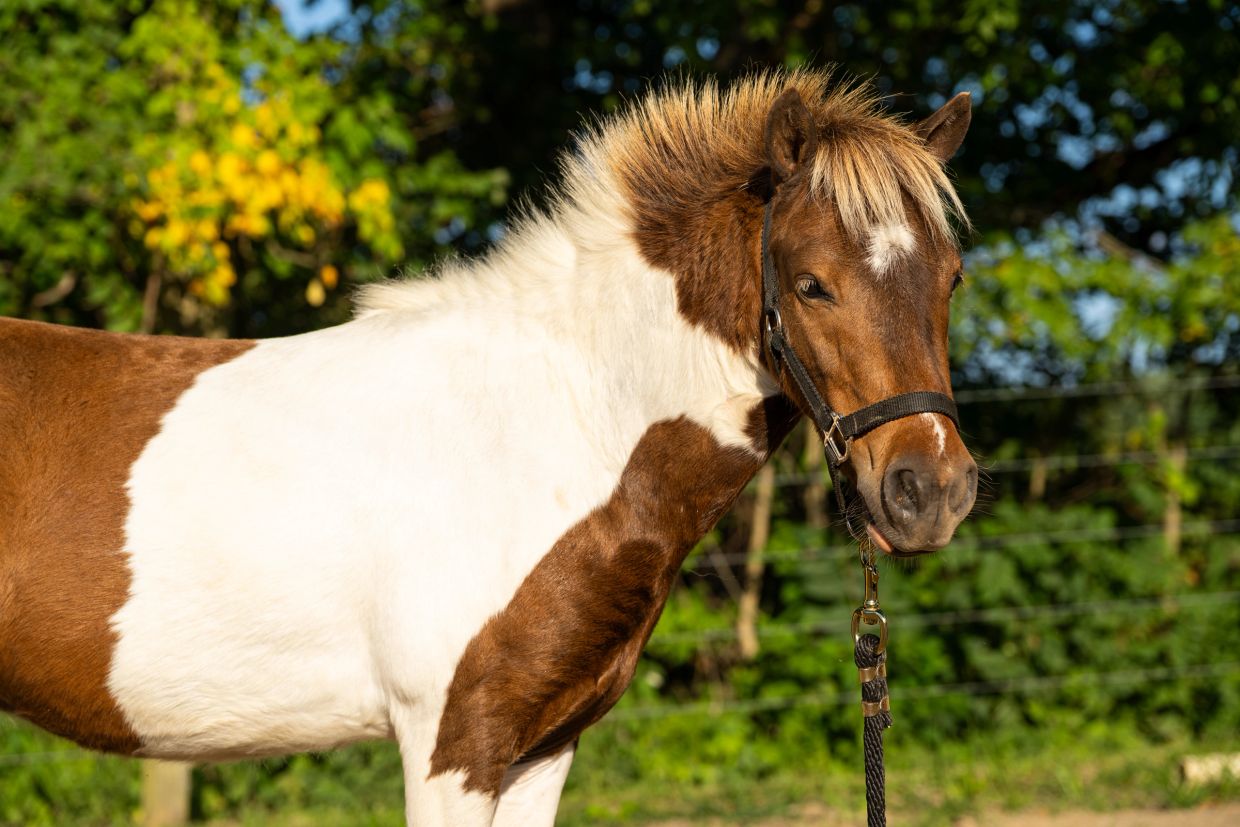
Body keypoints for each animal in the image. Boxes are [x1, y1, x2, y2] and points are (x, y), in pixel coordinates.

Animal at [0, 69, 977, 825]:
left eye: (952, 278)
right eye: (811, 284)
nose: (929, 489)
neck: (553, 419)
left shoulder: (540, 749)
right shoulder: (453, 745)